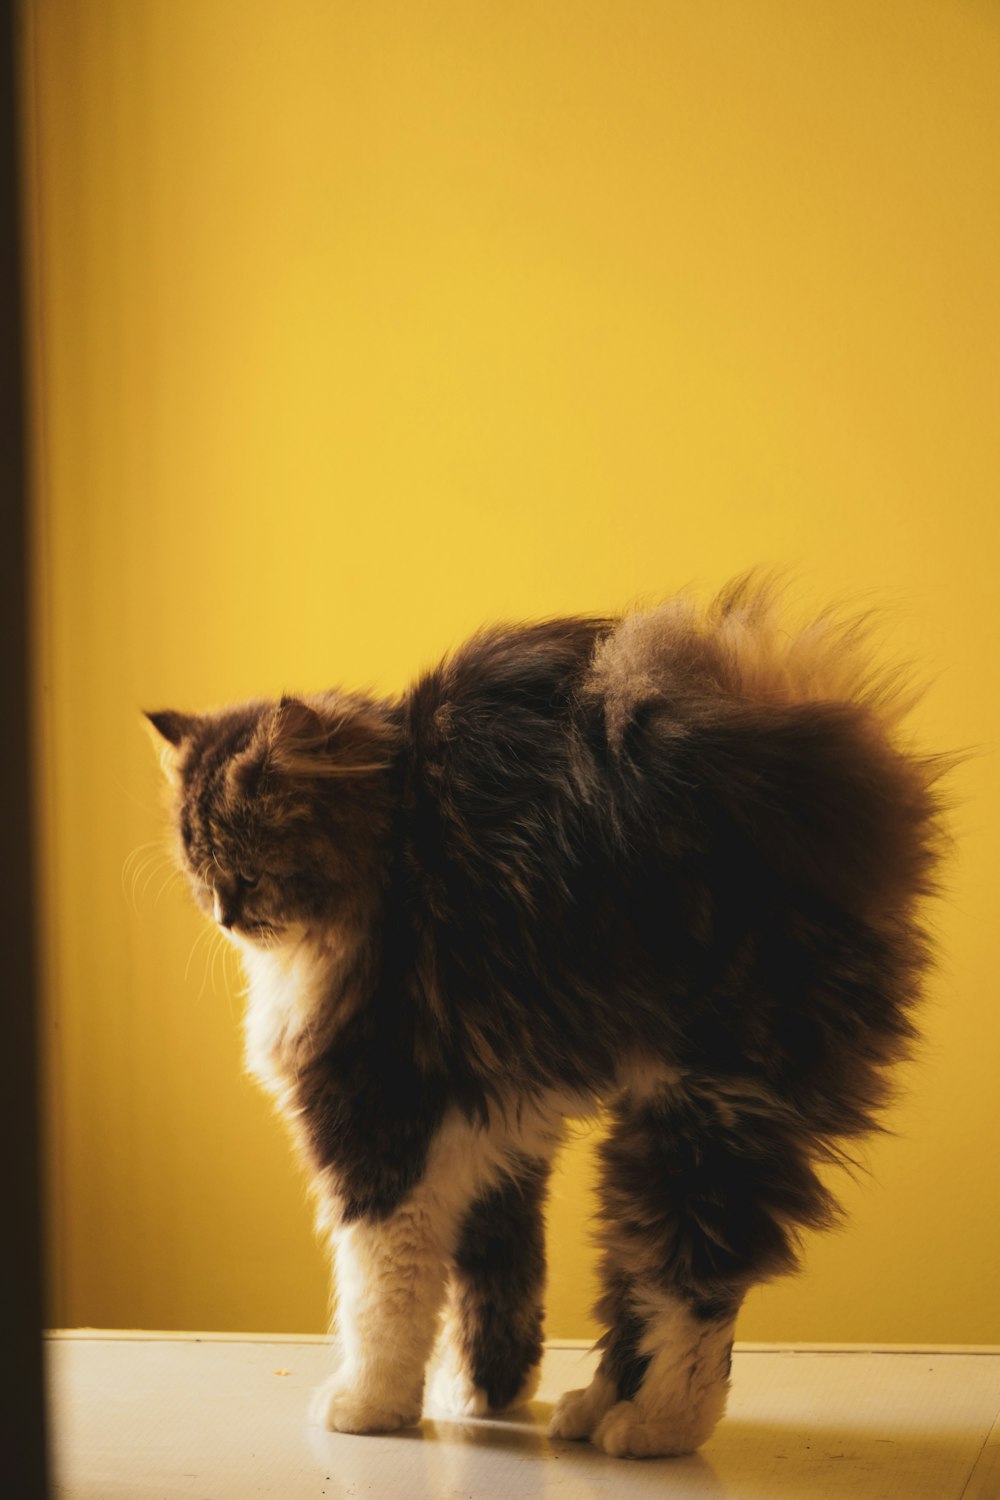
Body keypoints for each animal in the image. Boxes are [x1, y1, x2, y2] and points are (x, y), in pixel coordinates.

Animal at [146, 579, 947, 1458]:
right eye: (196, 863)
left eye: (248, 869)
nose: (223, 913)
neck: (392, 851)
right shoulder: (494, 1123)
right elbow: (497, 1277)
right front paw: (483, 1396)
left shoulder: (381, 1122)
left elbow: (381, 1293)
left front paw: (369, 1405)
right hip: (655, 1124)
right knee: (638, 1277)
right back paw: (592, 1410)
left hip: (710, 1104)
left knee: (692, 1285)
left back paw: (654, 1426)